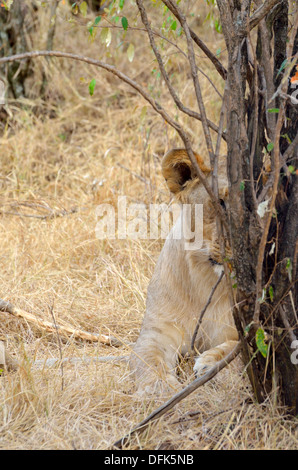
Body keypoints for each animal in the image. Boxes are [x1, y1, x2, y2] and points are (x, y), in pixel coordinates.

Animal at [129, 149, 239, 392]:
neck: (206, 280)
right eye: (219, 202)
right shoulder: (157, 331)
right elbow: (149, 360)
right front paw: (160, 389)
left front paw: (210, 364)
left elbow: (236, 347)